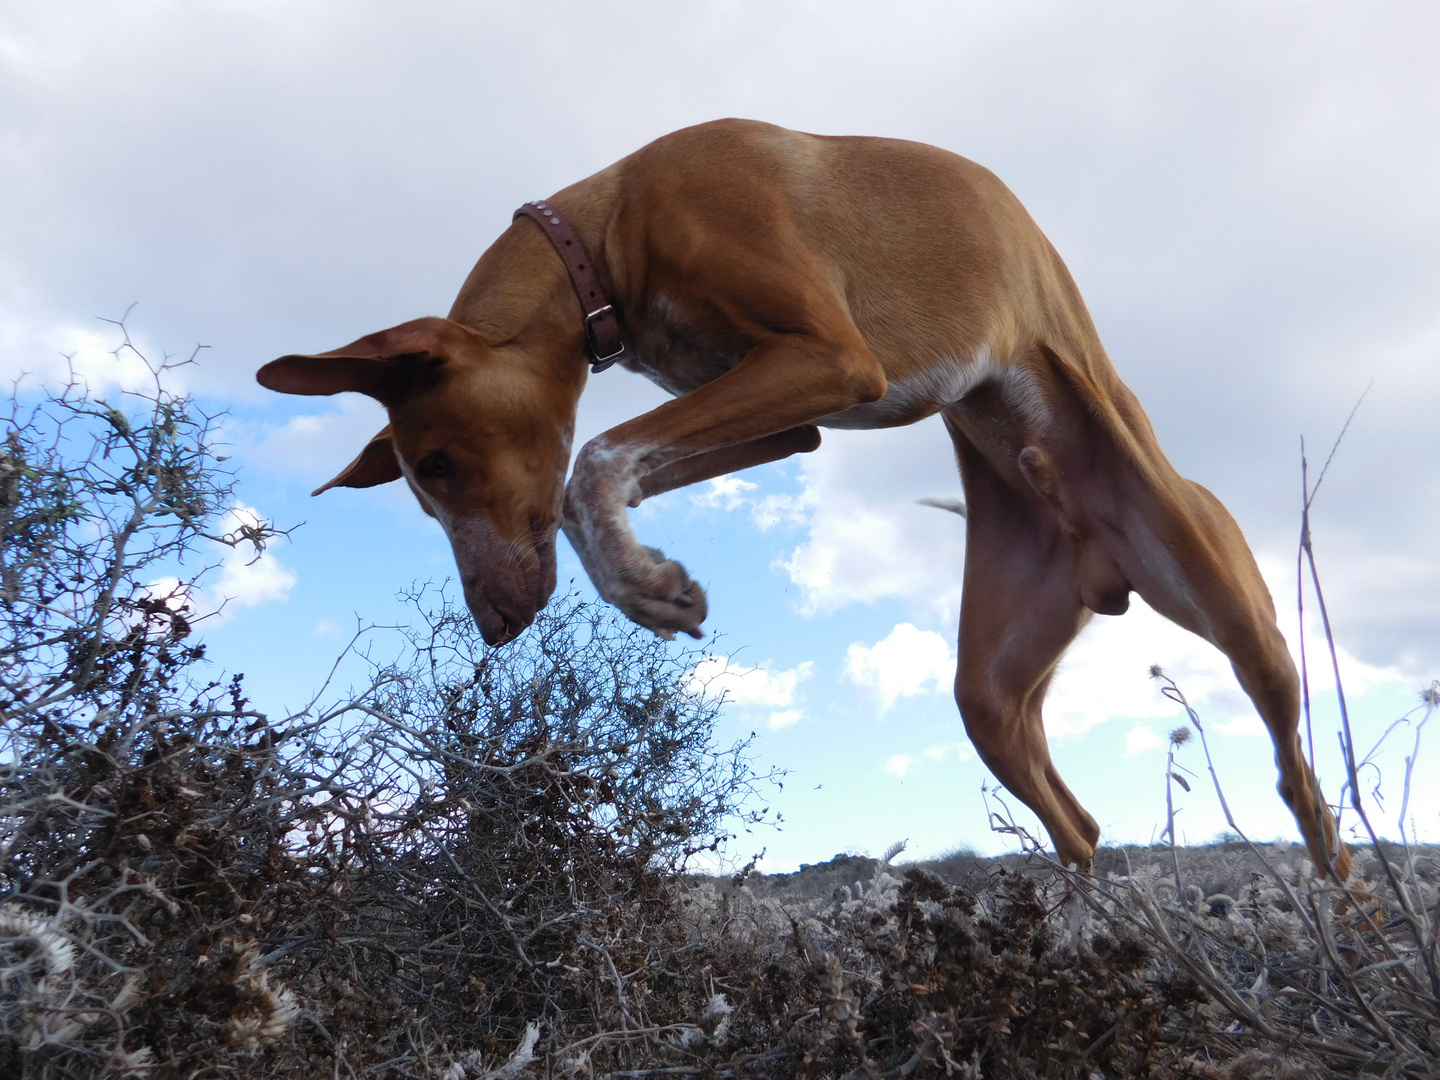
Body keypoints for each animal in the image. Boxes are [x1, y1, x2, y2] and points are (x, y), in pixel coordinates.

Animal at [259, 116, 1347, 881]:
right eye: (421, 486)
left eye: (439, 465)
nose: (493, 623)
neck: (612, 224)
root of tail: (1098, 555)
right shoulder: (788, 418)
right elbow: (598, 472)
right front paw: (641, 575)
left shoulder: (832, 359)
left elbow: (590, 463)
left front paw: (646, 587)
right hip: (992, 692)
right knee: (1076, 827)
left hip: (1223, 598)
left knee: (1299, 776)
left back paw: (1343, 903)